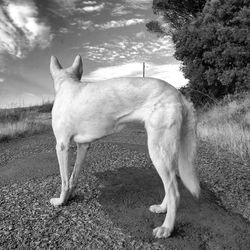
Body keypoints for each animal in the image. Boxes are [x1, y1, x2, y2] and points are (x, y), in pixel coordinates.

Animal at [49, 54, 200, 238]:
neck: (67, 83)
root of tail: (180, 96)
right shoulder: (83, 146)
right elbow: (73, 178)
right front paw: (69, 196)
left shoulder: (62, 146)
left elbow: (64, 180)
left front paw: (61, 201)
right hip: (168, 153)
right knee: (172, 183)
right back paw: (162, 208)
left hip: (158, 151)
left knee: (175, 194)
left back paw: (166, 228)